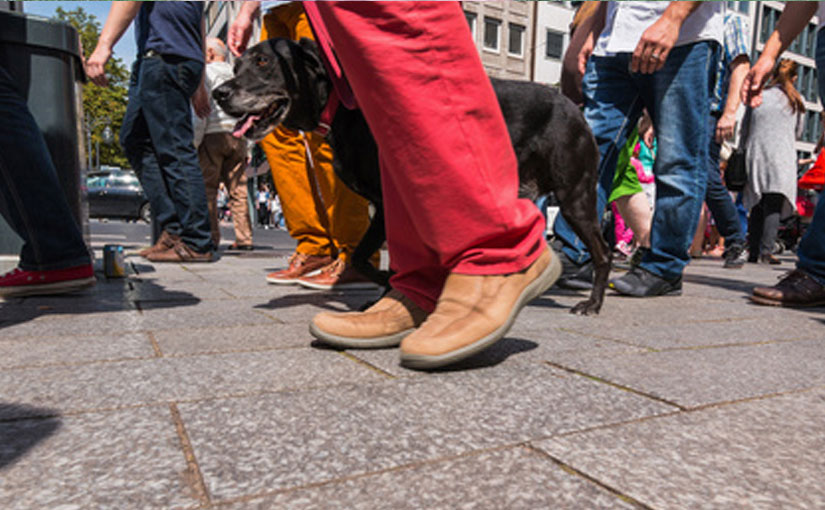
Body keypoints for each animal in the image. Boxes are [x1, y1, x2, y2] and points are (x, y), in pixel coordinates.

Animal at [216, 37, 608, 312]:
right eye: (236, 65)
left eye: (263, 61)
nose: (219, 93)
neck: (344, 106)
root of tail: (573, 107)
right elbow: (366, 257)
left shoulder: (390, 204)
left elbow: (363, 257)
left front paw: (390, 285)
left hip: (574, 197)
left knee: (602, 252)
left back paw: (592, 304)